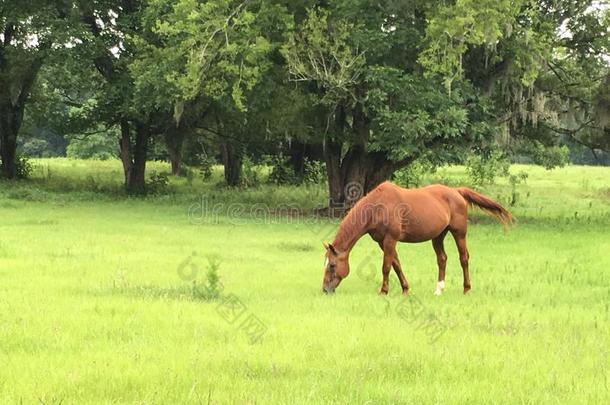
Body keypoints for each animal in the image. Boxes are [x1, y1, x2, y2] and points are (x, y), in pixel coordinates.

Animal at [320, 182, 510, 294]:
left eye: (332, 265)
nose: (325, 289)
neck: (377, 207)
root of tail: (457, 191)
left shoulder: (390, 239)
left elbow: (386, 267)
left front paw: (383, 291)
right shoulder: (382, 241)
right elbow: (396, 264)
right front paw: (405, 289)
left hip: (459, 233)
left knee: (464, 258)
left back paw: (466, 289)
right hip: (438, 236)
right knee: (442, 259)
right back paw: (439, 290)